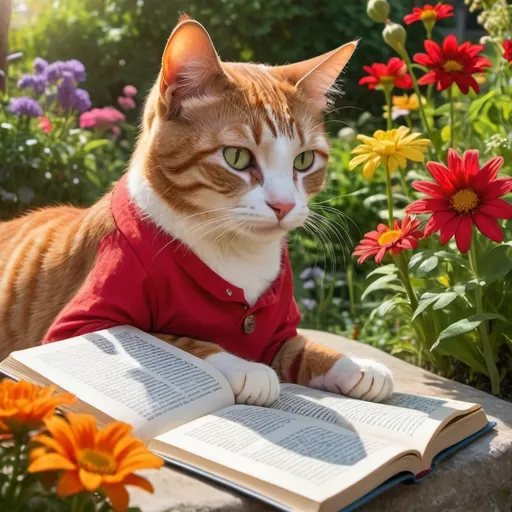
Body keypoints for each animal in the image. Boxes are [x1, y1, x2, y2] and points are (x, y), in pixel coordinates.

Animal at [0, 16, 394, 404]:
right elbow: (169, 339)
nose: (283, 204)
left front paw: (356, 365)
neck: (237, 254)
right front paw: (245, 368)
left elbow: (304, 347)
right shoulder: (79, 328)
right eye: (237, 157)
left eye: (304, 160)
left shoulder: (277, 333)